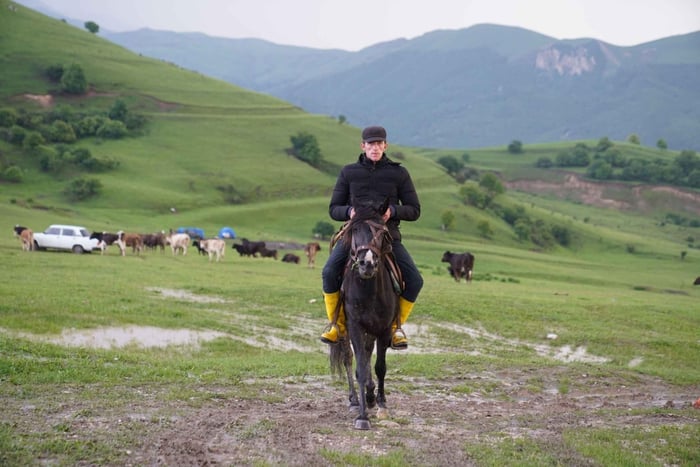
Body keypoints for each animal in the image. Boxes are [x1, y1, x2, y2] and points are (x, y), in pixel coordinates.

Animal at [329, 198, 400, 430]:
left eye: (382, 232)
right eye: (354, 229)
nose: (366, 263)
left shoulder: (384, 328)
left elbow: (380, 367)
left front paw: (381, 404)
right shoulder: (355, 326)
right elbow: (359, 366)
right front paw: (361, 416)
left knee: (368, 354)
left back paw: (370, 396)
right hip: (344, 329)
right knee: (347, 357)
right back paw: (354, 400)